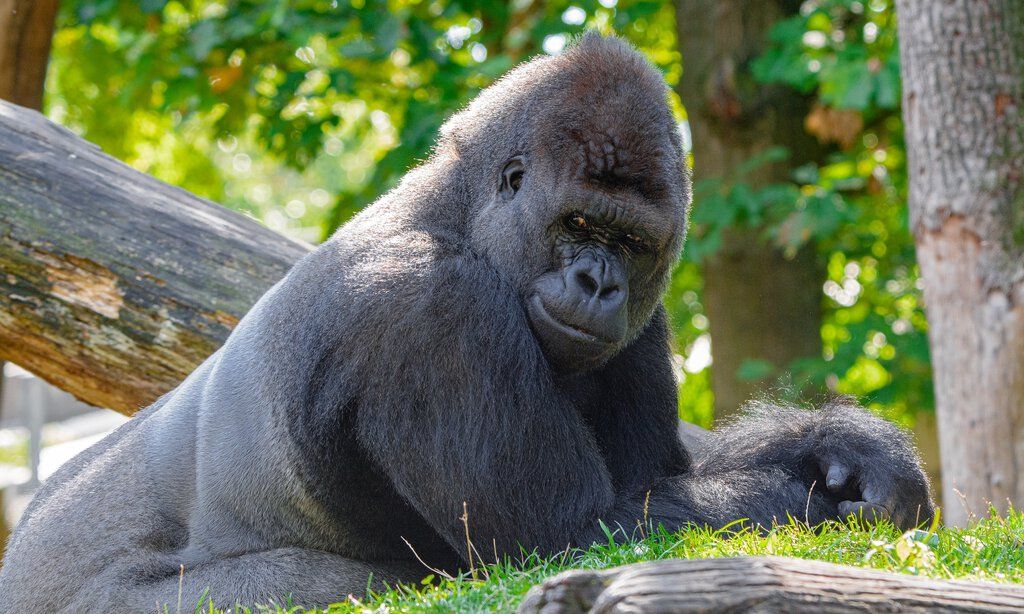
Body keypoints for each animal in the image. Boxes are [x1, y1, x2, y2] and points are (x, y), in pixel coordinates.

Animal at [0, 33, 933, 611]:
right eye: (577, 225)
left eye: (629, 243)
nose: (596, 282)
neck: (454, 208)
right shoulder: (426, 309)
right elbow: (576, 532)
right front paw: (811, 491)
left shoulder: (644, 318)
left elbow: (655, 476)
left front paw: (845, 446)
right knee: (343, 586)